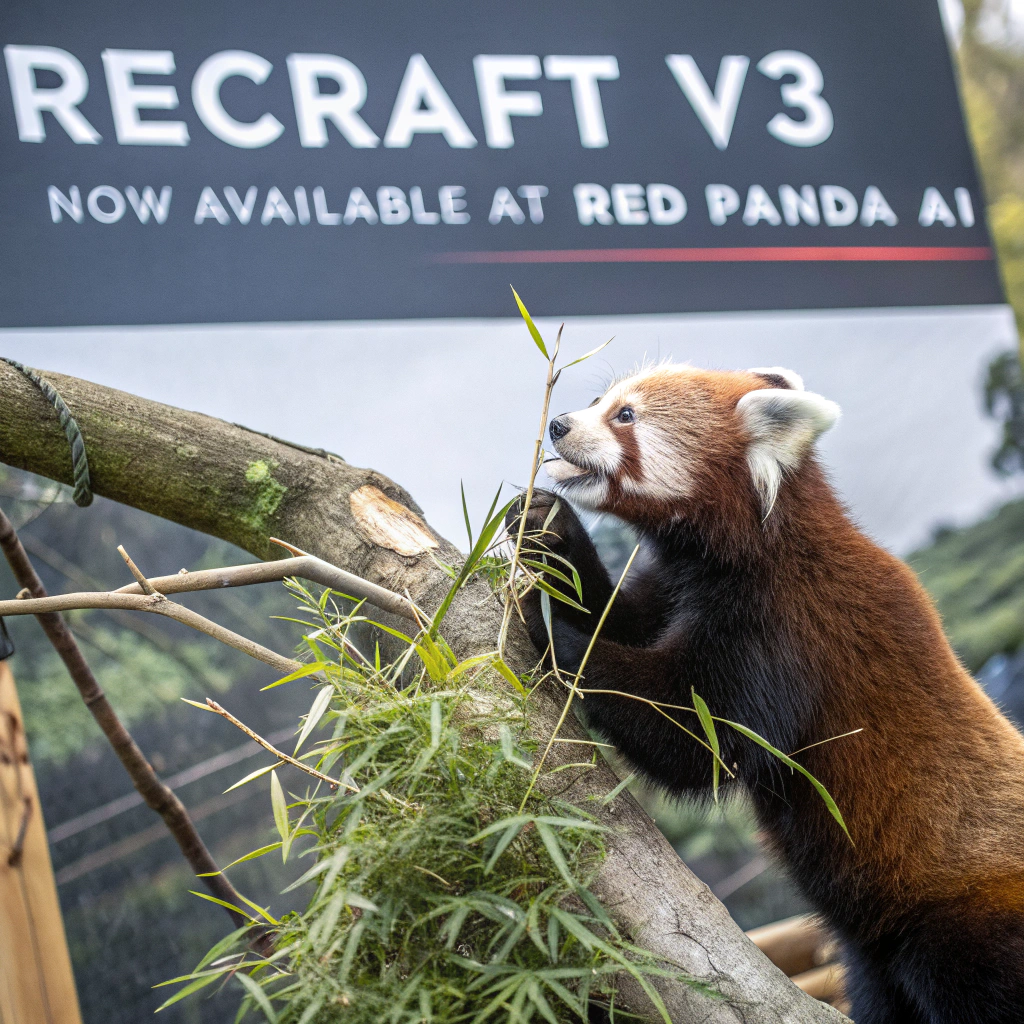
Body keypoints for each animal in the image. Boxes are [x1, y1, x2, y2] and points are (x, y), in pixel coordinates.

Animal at [506, 362, 1024, 1024]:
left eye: (625, 416)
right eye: (601, 398)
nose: (559, 423)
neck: (751, 548)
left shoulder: (789, 633)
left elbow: (695, 740)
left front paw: (551, 629)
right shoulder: (673, 586)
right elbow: (615, 614)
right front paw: (547, 529)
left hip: (965, 925)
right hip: (873, 957)